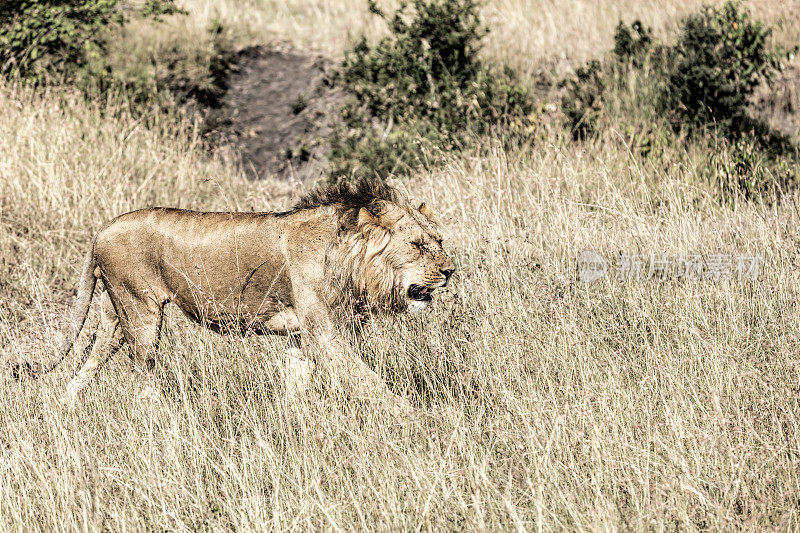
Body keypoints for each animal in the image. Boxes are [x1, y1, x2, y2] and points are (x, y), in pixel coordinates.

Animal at [20, 178, 456, 408]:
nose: (450, 271)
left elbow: (297, 383)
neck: (349, 258)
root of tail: (101, 231)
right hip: (141, 311)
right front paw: (412, 417)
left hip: (115, 314)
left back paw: (64, 409)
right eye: (417, 245)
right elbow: (368, 381)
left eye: (438, 241)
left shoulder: (300, 334)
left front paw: (294, 421)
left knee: (88, 363)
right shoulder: (325, 331)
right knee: (142, 375)